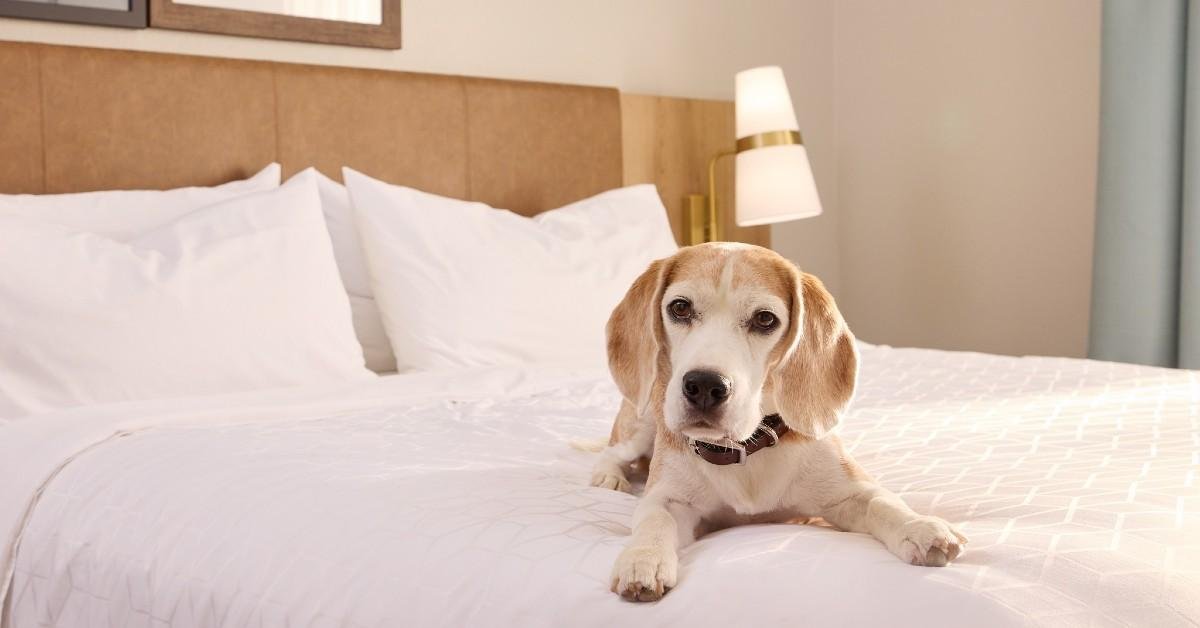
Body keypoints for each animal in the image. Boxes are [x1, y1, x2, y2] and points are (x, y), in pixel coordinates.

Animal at [590, 243, 964, 602]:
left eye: (764, 319)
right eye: (680, 308)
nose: (705, 386)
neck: (745, 448)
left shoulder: (847, 492)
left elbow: (883, 502)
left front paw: (919, 527)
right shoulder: (669, 498)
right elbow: (654, 518)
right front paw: (643, 558)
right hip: (641, 422)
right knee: (611, 452)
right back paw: (608, 477)